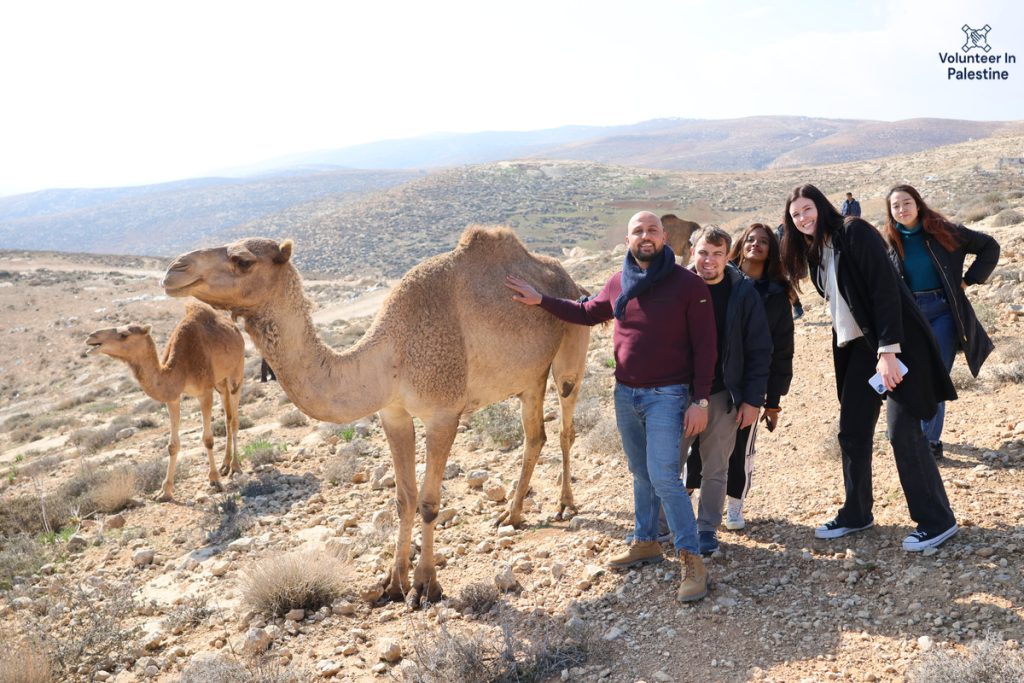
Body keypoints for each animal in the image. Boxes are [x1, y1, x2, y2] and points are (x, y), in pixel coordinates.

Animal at [86, 301, 245, 499]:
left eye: (124, 335)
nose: (91, 337)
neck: (180, 368)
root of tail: (235, 329)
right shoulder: (173, 398)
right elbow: (172, 445)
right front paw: (165, 491)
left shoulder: (204, 392)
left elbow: (207, 439)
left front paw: (215, 481)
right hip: (220, 382)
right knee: (228, 418)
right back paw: (225, 464)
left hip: (236, 372)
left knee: (234, 420)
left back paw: (235, 468)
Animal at [162, 229, 589, 610]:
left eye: (242, 261)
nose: (174, 270)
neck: (390, 357)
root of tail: (567, 279)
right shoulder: (392, 413)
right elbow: (403, 498)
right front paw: (391, 584)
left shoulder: (443, 412)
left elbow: (429, 502)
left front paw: (424, 587)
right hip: (529, 376)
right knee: (535, 436)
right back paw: (511, 514)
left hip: (570, 346)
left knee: (566, 423)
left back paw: (565, 505)